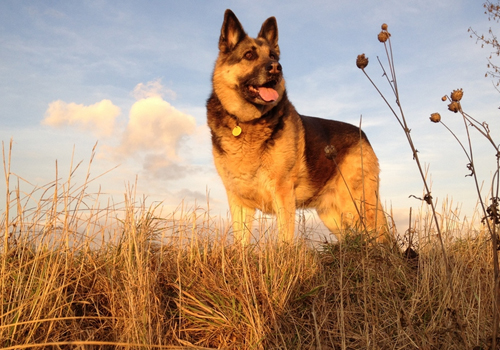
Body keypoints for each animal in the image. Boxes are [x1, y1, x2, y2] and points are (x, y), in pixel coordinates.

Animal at [207, 8, 386, 243]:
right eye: (249, 55)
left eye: (273, 56)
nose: (276, 68)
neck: (246, 122)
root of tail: (362, 134)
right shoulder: (239, 201)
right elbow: (241, 244)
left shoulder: (283, 194)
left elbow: (284, 240)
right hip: (333, 216)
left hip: (359, 207)